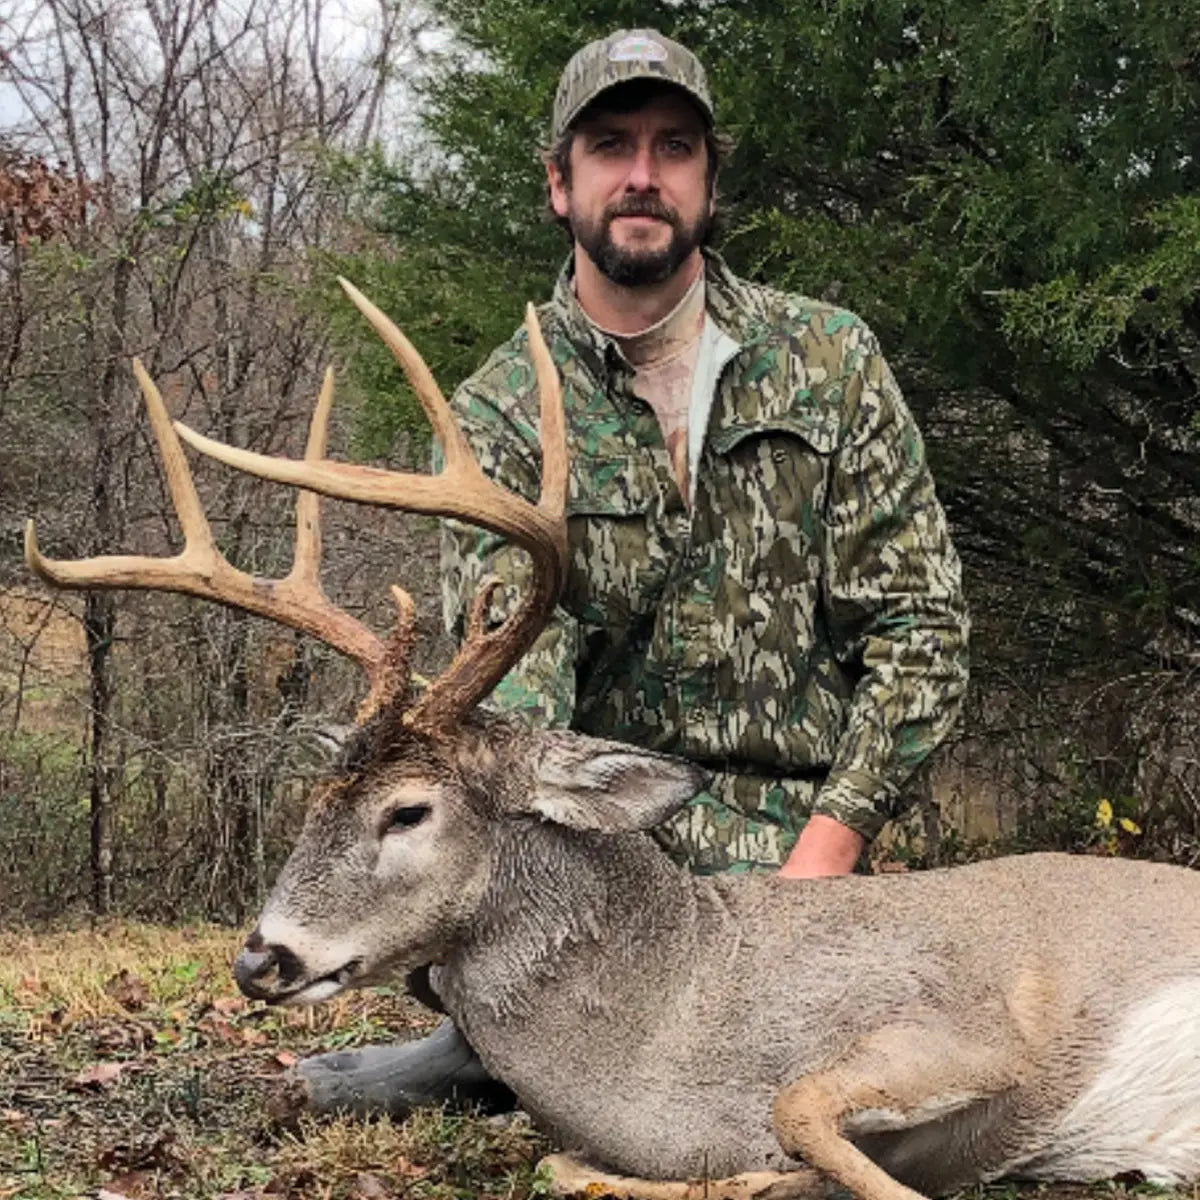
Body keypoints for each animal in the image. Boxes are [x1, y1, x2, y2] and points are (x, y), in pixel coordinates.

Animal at [26, 281, 1200, 1200]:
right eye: (315, 802)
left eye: (409, 810)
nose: (260, 958)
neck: (676, 1014)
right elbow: (584, 1156)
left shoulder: (972, 1028)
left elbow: (799, 1117)